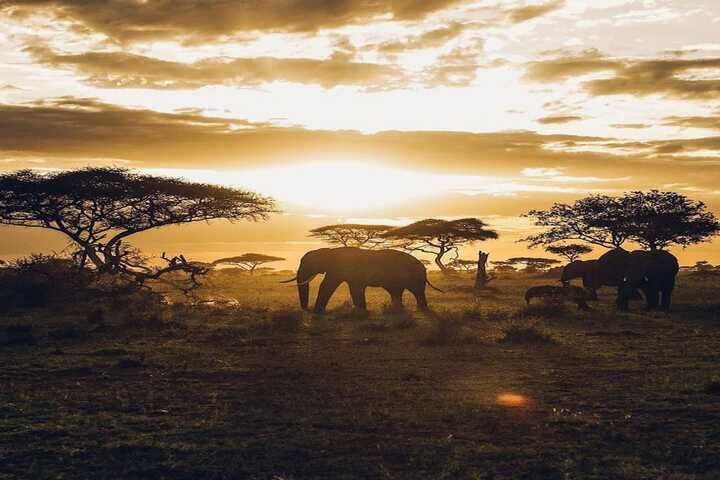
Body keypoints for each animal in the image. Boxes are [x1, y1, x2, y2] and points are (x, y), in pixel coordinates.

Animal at [282, 247, 441, 314]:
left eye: (306, 263)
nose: (306, 309)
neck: (328, 250)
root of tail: (423, 266)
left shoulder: (340, 267)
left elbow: (328, 285)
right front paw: (361, 310)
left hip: (415, 276)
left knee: (415, 291)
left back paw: (420, 309)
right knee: (397, 291)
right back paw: (403, 309)